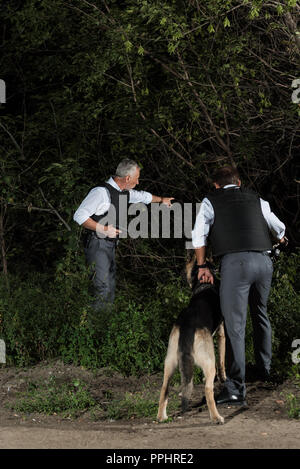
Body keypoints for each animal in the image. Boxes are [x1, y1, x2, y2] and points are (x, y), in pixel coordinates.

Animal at [157, 252, 225, 424]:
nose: (180, 272)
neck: (204, 285)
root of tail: (187, 326)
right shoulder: (222, 334)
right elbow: (223, 363)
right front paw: (224, 378)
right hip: (209, 363)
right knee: (208, 390)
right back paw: (216, 417)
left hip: (170, 362)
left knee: (164, 388)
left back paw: (161, 416)